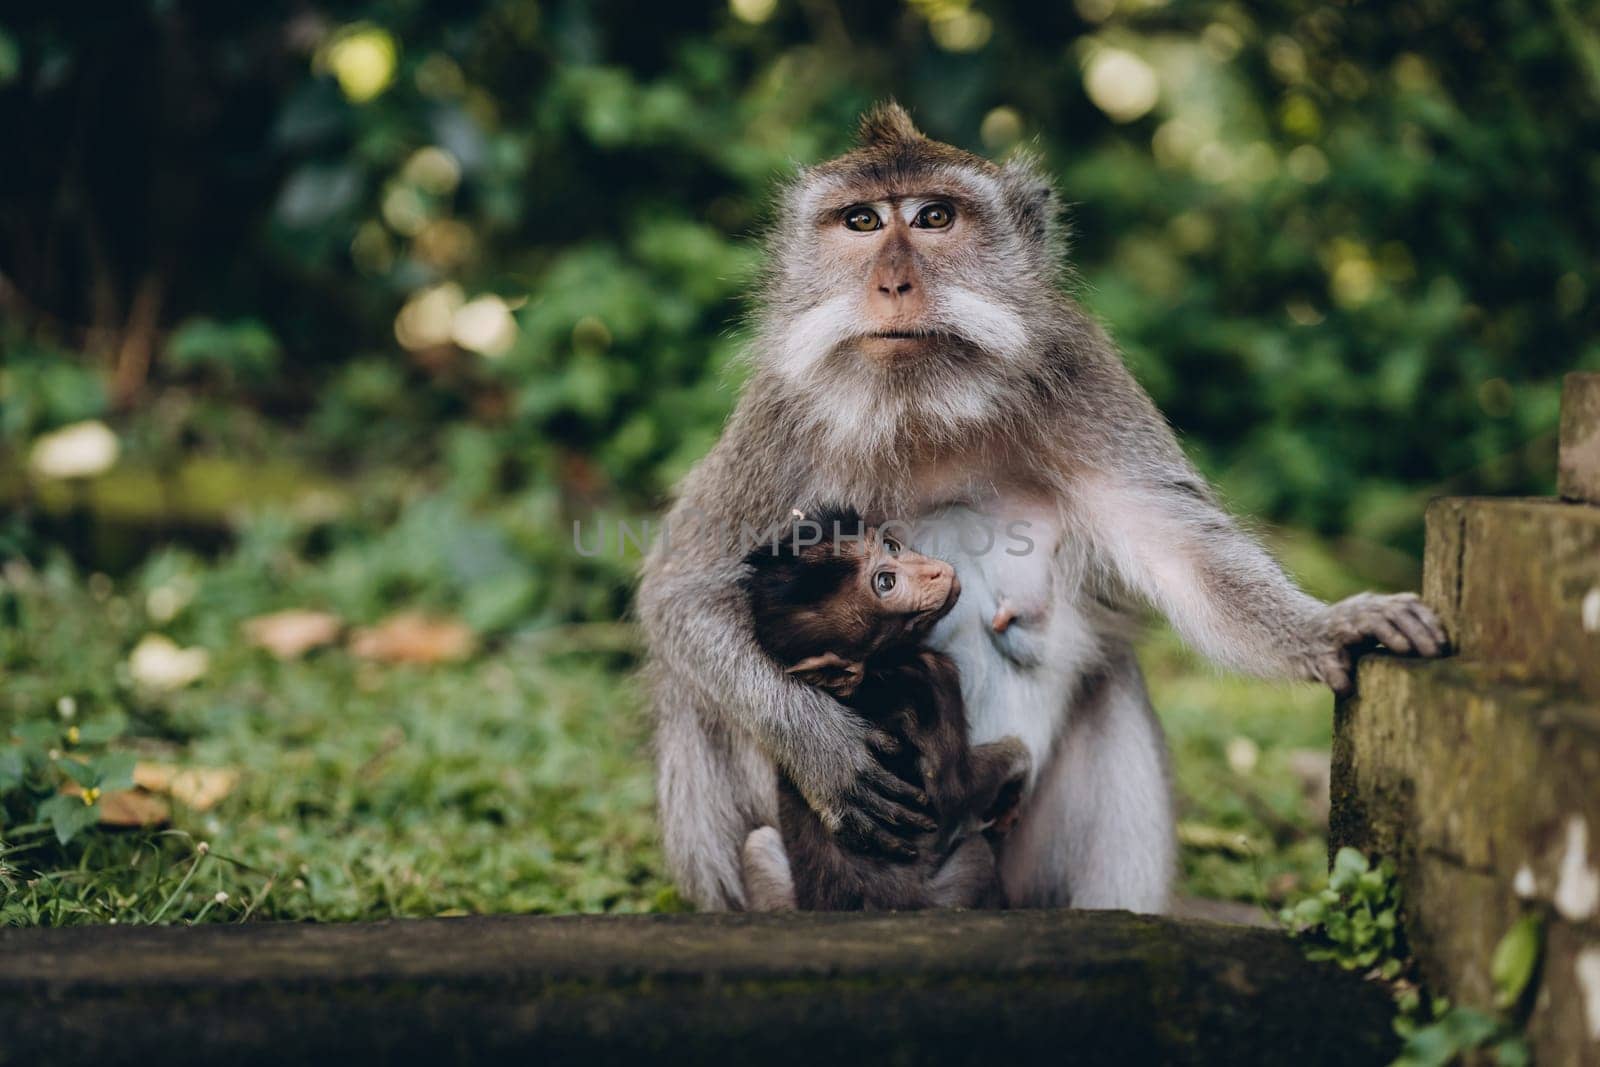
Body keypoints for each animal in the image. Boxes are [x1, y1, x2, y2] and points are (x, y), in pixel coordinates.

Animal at [732, 508, 1024, 908]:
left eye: (891, 546)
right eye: (886, 583)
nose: (933, 572)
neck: (871, 676)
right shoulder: (933, 677)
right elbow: (955, 787)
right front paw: (1018, 767)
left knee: (758, 845)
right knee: (976, 854)